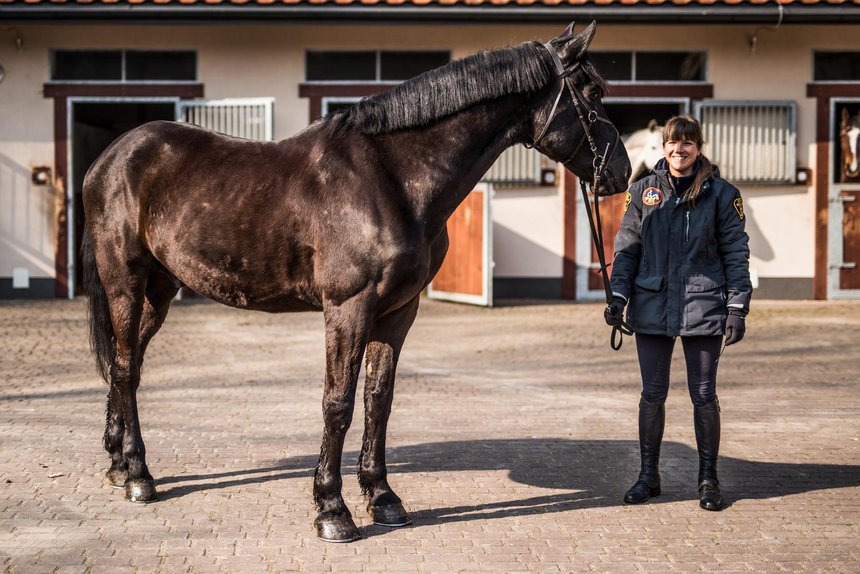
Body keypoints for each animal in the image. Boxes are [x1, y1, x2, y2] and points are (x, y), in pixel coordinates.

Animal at [82, 23, 632, 544]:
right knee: (126, 369)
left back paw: (118, 463)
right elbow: (338, 403)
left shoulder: (398, 311)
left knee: (127, 365)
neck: (392, 179)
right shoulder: (349, 307)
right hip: (125, 282)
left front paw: (383, 497)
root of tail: (110, 158)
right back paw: (140, 476)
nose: (621, 173)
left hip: (159, 289)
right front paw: (333, 509)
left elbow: (378, 400)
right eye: (592, 92)